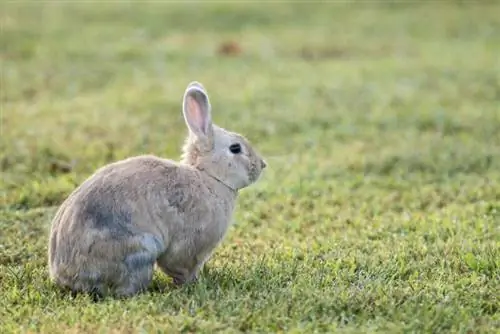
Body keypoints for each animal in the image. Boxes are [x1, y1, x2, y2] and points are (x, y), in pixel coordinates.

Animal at [47, 81, 268, 298]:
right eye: (235, 148)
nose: (262, 165)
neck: (209, 176)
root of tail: (65, 276)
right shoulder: (188, 246)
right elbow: (180, 266)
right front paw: (193, 283)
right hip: (139, 252)